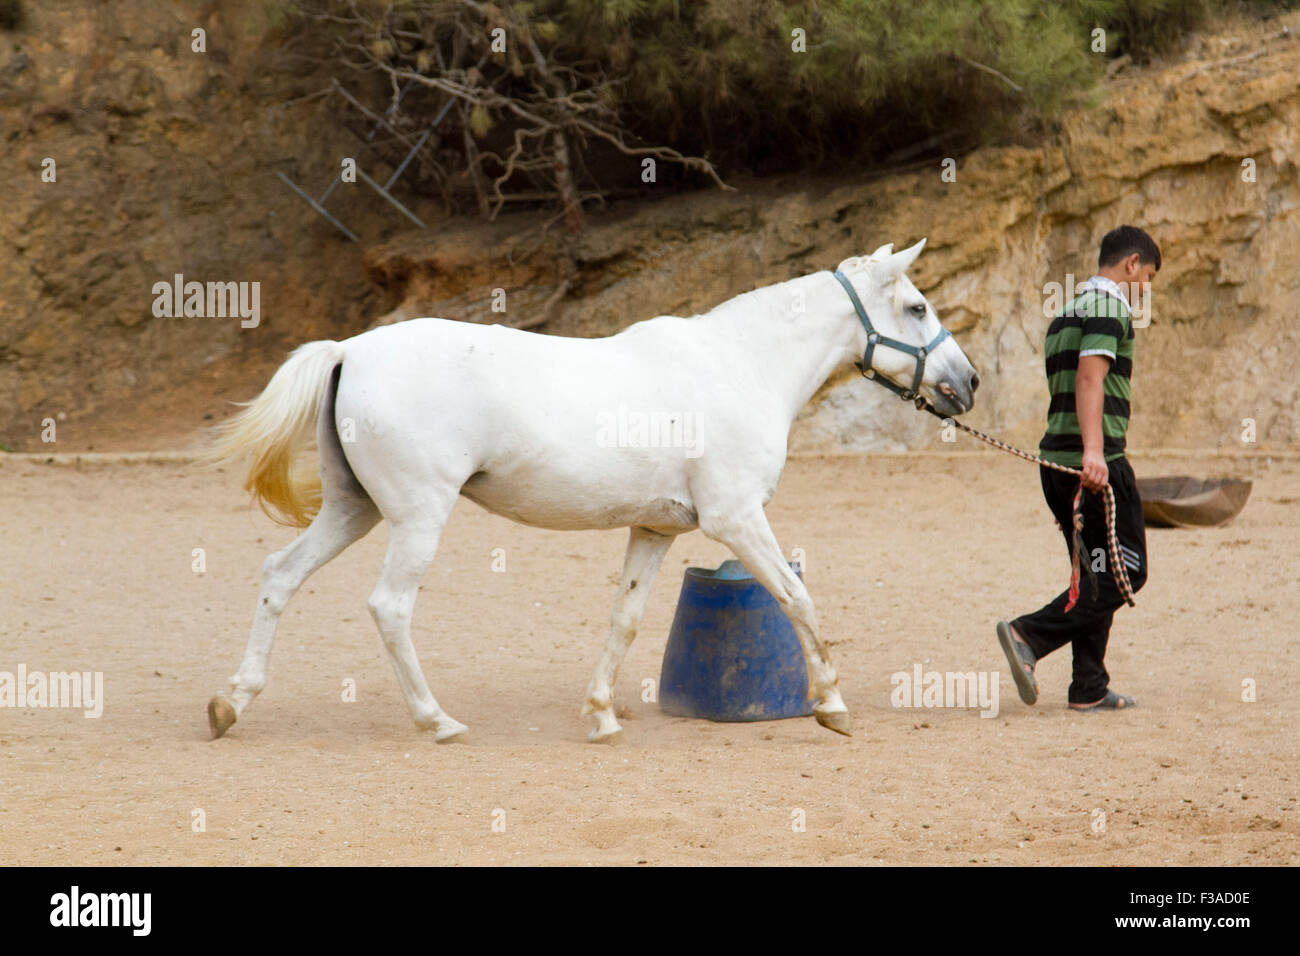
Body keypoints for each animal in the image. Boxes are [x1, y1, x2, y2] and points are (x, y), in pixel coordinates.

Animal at [206, 237, 979, 744]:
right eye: (917, 306)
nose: (966, 383)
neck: (740, 366)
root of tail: (351, 350)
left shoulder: (657, 529)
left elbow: (624, 619)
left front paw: (602, 715)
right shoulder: (735, 520)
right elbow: (797, 599)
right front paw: (833, 705)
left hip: (352, 510)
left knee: (280, 576)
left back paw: (232, 704)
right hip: (417, 518)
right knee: (389, 607)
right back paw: (438, 721)